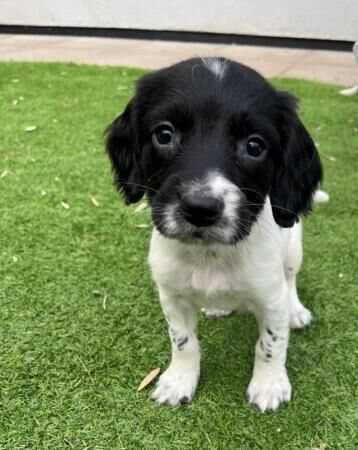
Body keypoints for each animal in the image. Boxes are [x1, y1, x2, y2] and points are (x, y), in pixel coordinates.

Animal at [105, 56, 324, 412]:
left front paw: (269, 386)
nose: (200, 208)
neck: (211, 255)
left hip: (293, 250)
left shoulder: (271, 298)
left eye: (255, 145)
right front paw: (179, 381)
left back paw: (296, 311)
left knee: (291, 280)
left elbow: (270, 344)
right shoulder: (171, 296)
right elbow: (183, 342)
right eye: (164, 134)